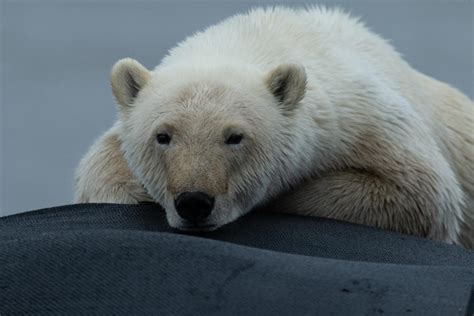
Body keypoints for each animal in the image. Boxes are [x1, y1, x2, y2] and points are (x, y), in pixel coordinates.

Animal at [74, 7, 474, 248]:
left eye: (235, 137)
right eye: (163, 136)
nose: (194, 202)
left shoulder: (365, 121)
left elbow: (421, 194)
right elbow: (100, 170)